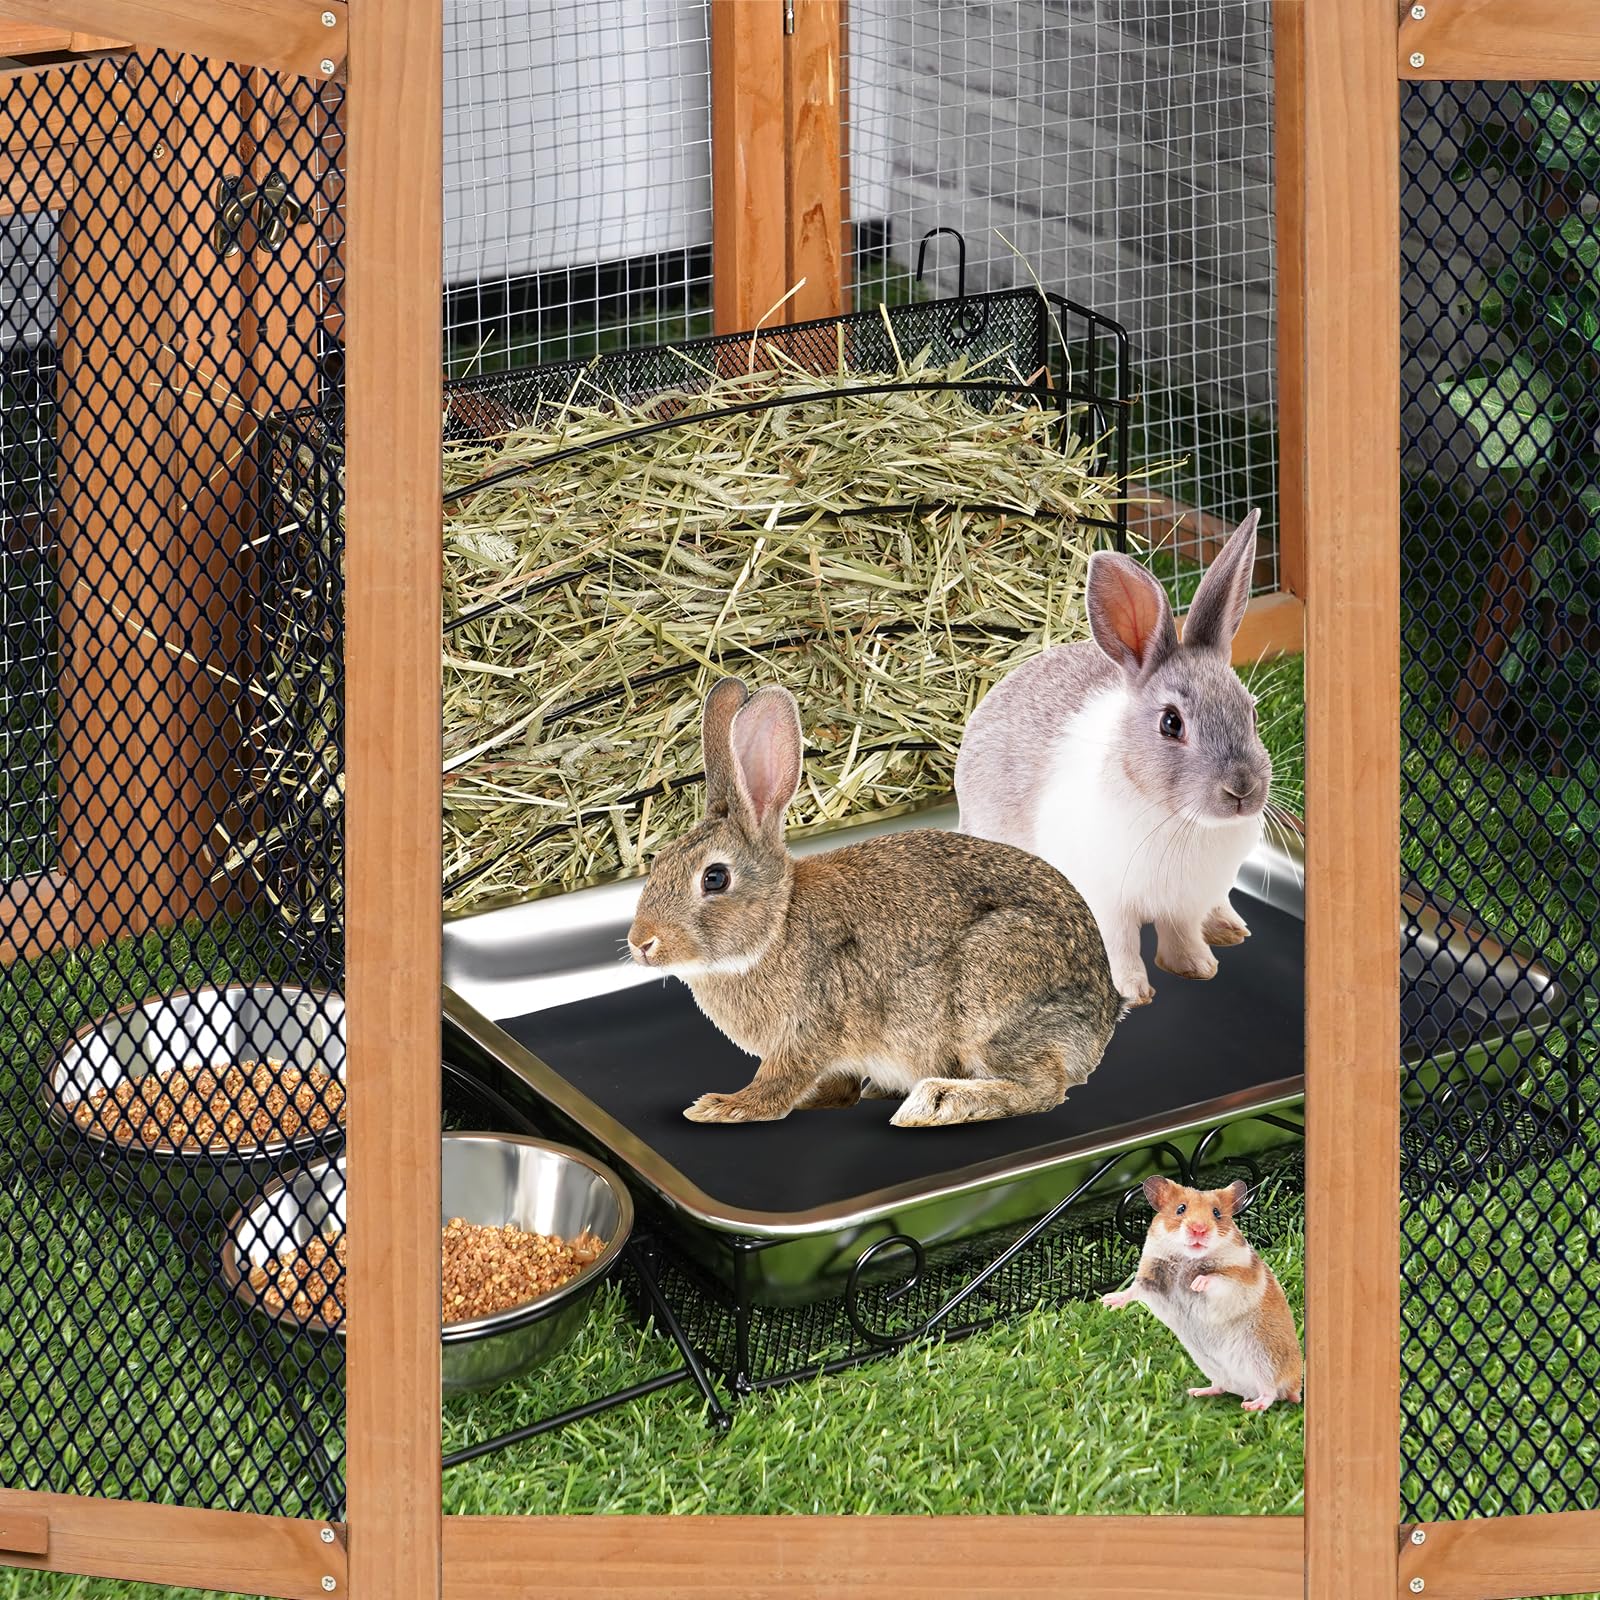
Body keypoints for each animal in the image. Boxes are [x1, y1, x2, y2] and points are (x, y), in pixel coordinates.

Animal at [626, 676, 1123, 1128]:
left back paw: (935, 1103)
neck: (775, 927)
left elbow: (780, 1080)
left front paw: (723, 1106)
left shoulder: (810, 1029)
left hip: (991, 995)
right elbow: (834, 1084)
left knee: (1041, 1087)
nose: (641, 943)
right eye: (659, 862)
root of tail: (1104, 1015)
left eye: (714, 878)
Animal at [954, 509, 1272, 1007]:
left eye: (1253, 713)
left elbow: (1181, 934)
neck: (1179, 821)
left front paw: (1197, 967)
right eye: (1171, 723)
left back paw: (1228, 928)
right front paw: (1133, 992)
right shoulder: (1106, 900)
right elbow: (1119, 944)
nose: (1242, 789)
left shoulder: (1184, 903)